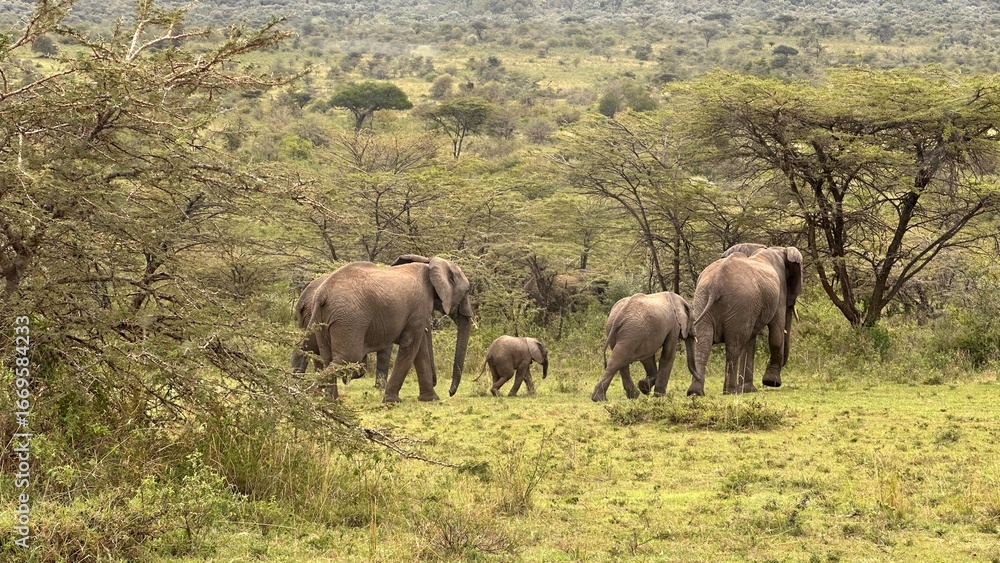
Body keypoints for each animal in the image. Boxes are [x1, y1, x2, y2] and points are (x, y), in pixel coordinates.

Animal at [307, 254, 472, 402]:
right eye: (467, 291)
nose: (450, 392)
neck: (429, 263)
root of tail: (322, 294)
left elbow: (419, 349)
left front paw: (430, 399)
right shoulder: (419, 307)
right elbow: (410, 344)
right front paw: (391, 401)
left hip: (322, 319)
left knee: (327, 357)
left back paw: (331, 401)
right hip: (349, 318)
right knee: (347, 357)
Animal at [686, 243, 803, 396]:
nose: (769, 383)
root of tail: (716, 284)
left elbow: (751, 341)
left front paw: (749, 389)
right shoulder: (779, 293)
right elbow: (776, 332)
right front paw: (770, 382)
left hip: (702, 298)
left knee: (704, 342)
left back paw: (695, 392)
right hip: (739, 303)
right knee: (734, 345)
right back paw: (731, 391)